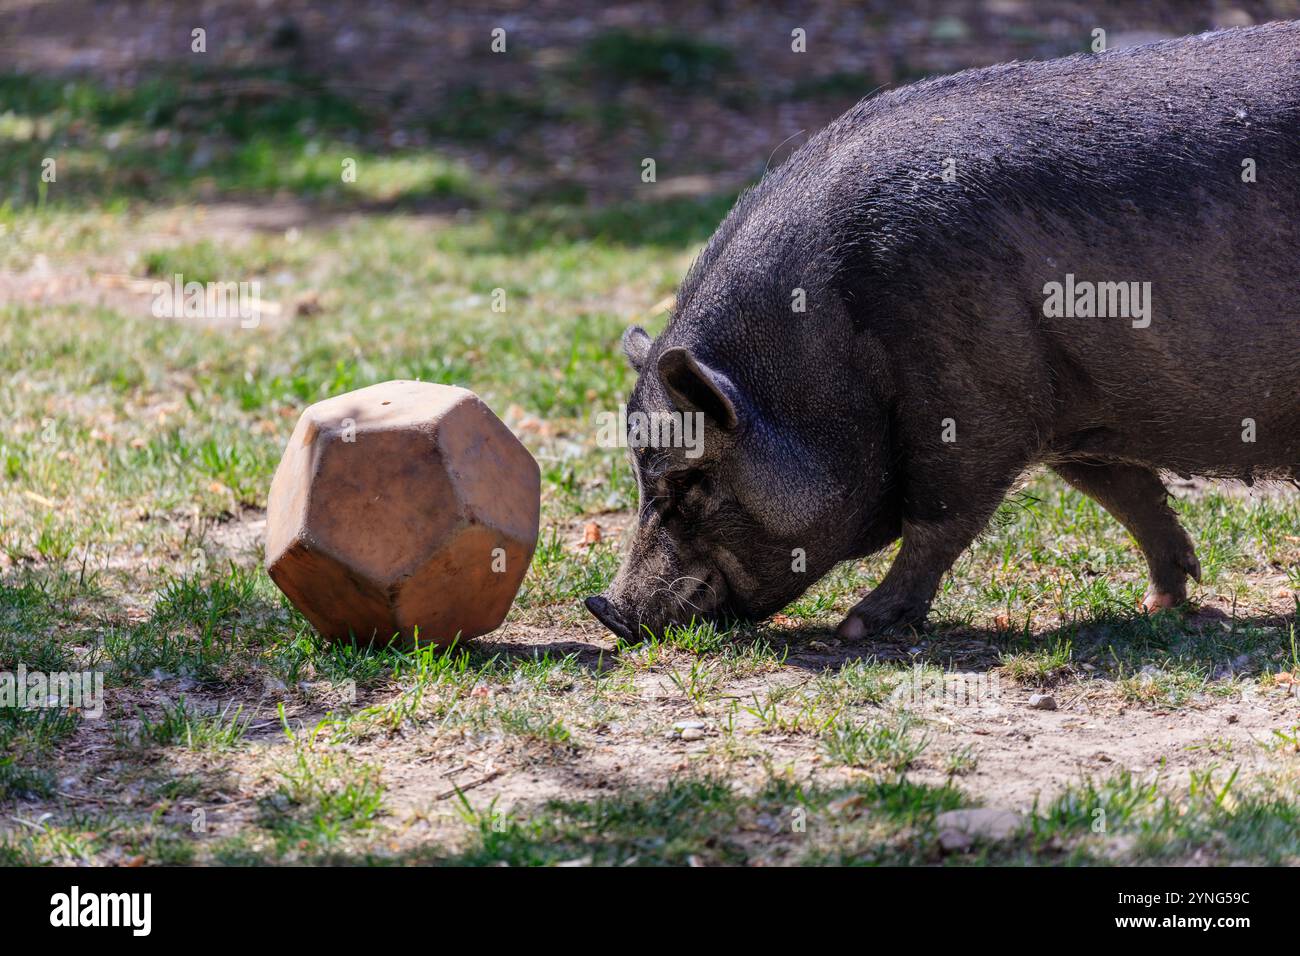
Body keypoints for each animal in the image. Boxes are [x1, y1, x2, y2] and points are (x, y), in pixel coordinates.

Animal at [585, 23, 1300, 642]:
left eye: (688, 482)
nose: (607, 610)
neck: (833, 342)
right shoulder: (1070, 411)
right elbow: (1127, 493)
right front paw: (1162, 604)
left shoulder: (973, 404)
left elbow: (938, 522)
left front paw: (857, 626)